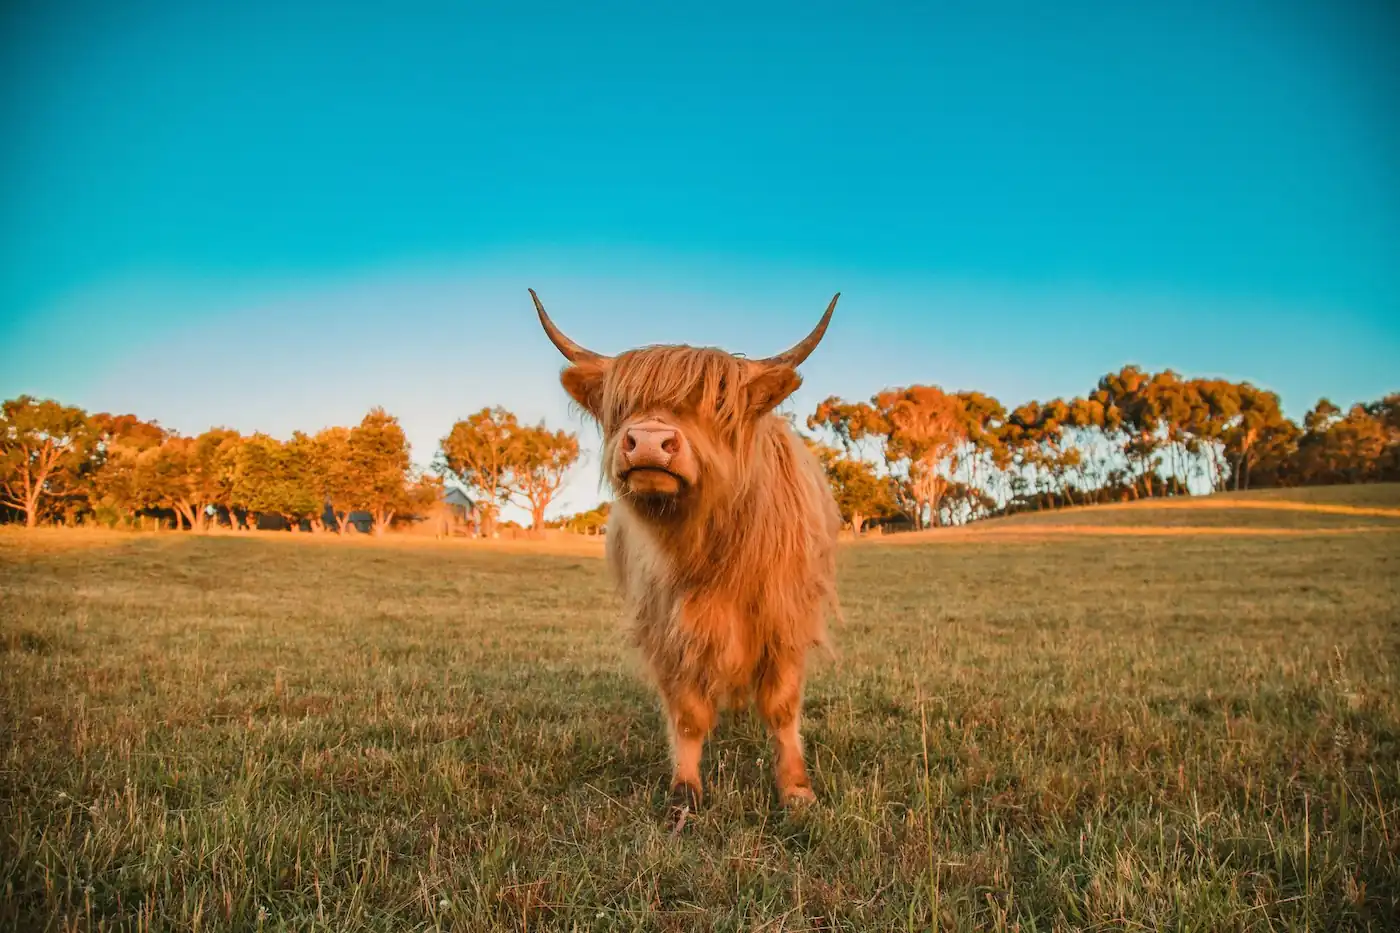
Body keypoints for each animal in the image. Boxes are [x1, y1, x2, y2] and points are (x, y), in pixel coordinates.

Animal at [531, 288, 844, 823]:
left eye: (717, 402)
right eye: (621, 404)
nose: (648, 442)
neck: (714, 551)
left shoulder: (785, 620)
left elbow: (781, 706)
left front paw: (797, 790)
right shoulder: (667, 628)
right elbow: (688, 713)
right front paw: (686, 789)